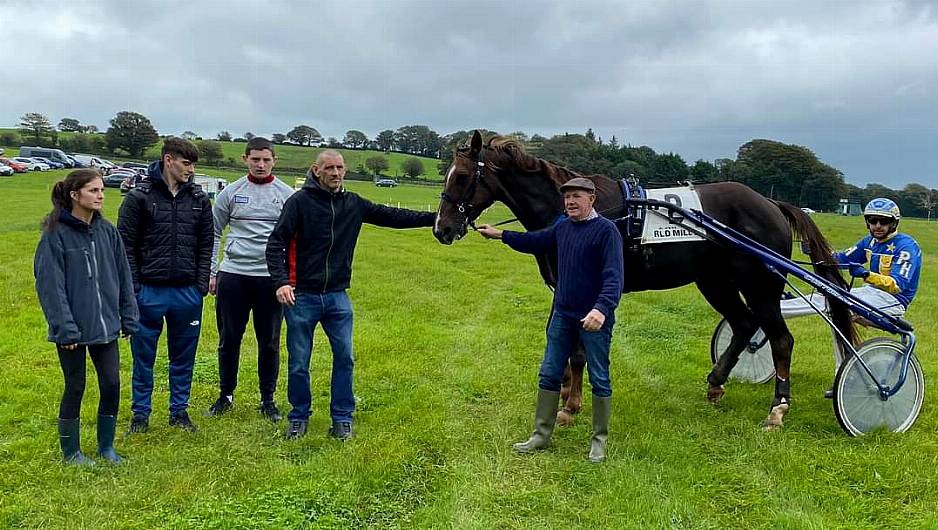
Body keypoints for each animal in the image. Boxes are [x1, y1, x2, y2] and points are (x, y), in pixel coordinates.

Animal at [432, 131, 856, 428]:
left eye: (463, 176)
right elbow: (566, 344)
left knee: (781, 339)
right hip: (715, 281)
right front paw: (567, 393)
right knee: (743, 325)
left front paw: (570, 406)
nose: (442, 228)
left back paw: (778, 409)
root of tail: (771, 204)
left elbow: (578, 350)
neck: (571, 211)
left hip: (761, 285)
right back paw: (717, 381)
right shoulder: (565, 288)